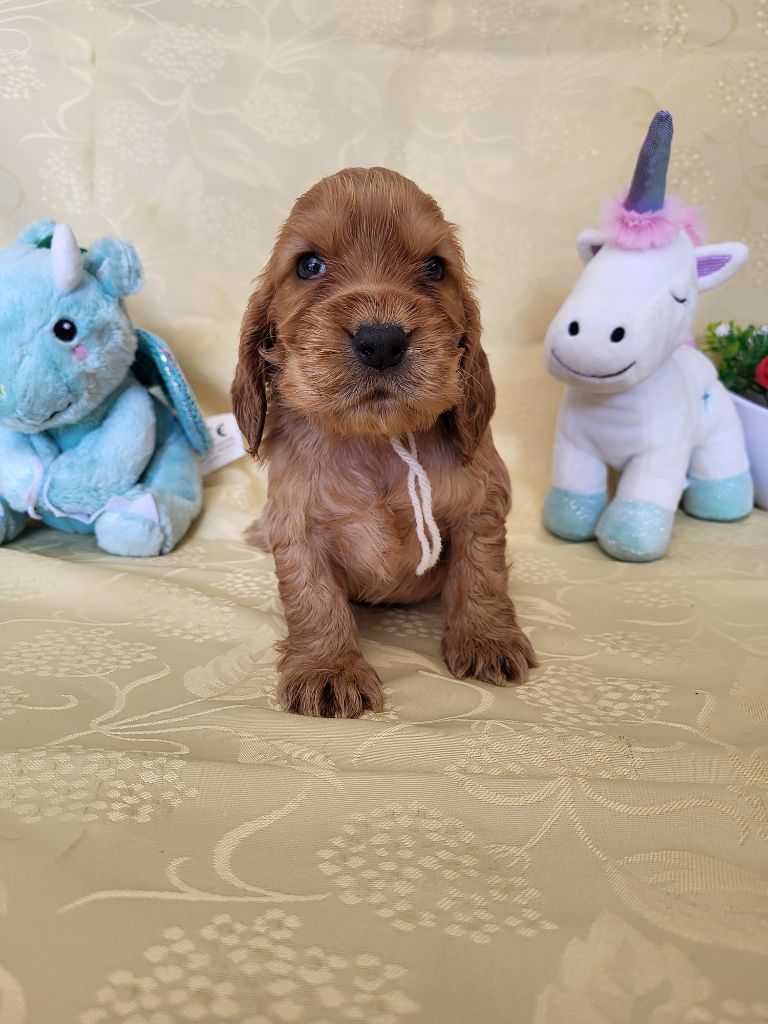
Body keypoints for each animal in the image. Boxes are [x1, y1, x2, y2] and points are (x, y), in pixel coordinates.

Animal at [232, 167, 536, 718]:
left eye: (435, 269)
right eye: (309, 265)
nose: (381, 341)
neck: (376, 442)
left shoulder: (480, 506)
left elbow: (482, 573)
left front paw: (487, 638)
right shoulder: (296, 525)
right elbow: (313, 597)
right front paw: (328, 669)